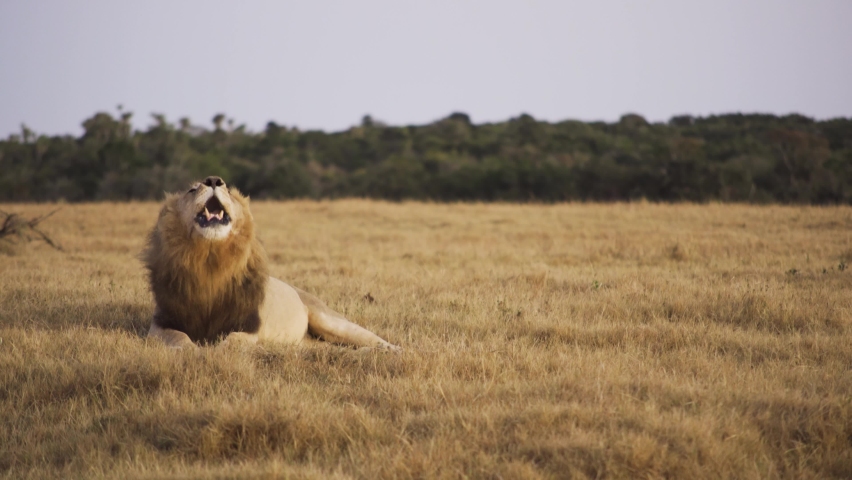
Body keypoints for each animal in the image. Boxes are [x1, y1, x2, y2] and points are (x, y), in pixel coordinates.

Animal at [142, 175, 400, 351]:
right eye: (192, 189)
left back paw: (393, 351)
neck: (209, 261)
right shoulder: (161, 323)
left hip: (331, 322)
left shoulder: (248, 326)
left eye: (227, 189)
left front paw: (216, 351)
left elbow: (232, 341)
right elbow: (179, 337)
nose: (213, 180)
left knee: (371, 338)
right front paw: (194, 351)